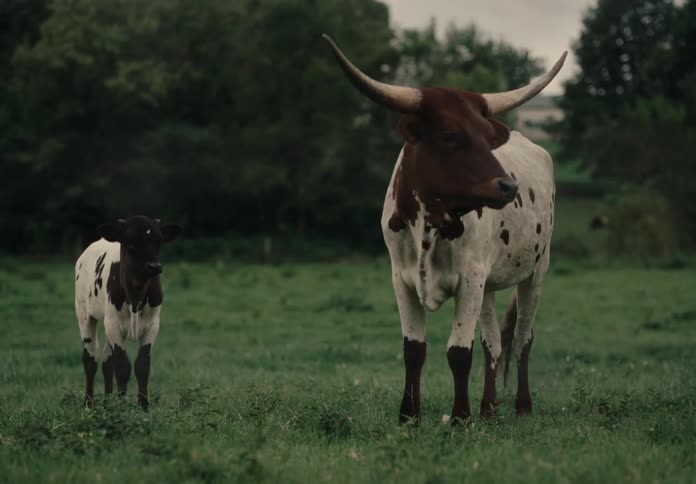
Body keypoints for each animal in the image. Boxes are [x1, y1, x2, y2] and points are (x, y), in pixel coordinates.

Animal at [74, 216, 181, 409]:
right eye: (130, 243)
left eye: (158, 241)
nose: (154, 266)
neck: (136, 294)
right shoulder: (113, 324)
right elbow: (123, 367)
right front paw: (122, 406)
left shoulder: (153, 325)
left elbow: (142, 365)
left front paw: (143, 406)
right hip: (84, 314)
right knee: (90, 359)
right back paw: (88, 405)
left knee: (107, 361)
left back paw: (108, 403)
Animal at [323, 35, 566, 423]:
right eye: (450, 135)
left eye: (487, 136)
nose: (508, 187)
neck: (429, 226)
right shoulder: (402, 279)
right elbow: (414, 349)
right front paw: (410, 416)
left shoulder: (469, 279)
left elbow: (459, 352)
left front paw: (460, 418)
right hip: (488, 285)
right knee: (493, 342)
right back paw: (488, 408)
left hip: (535, 271)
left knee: (522, 339)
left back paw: (522, 407)